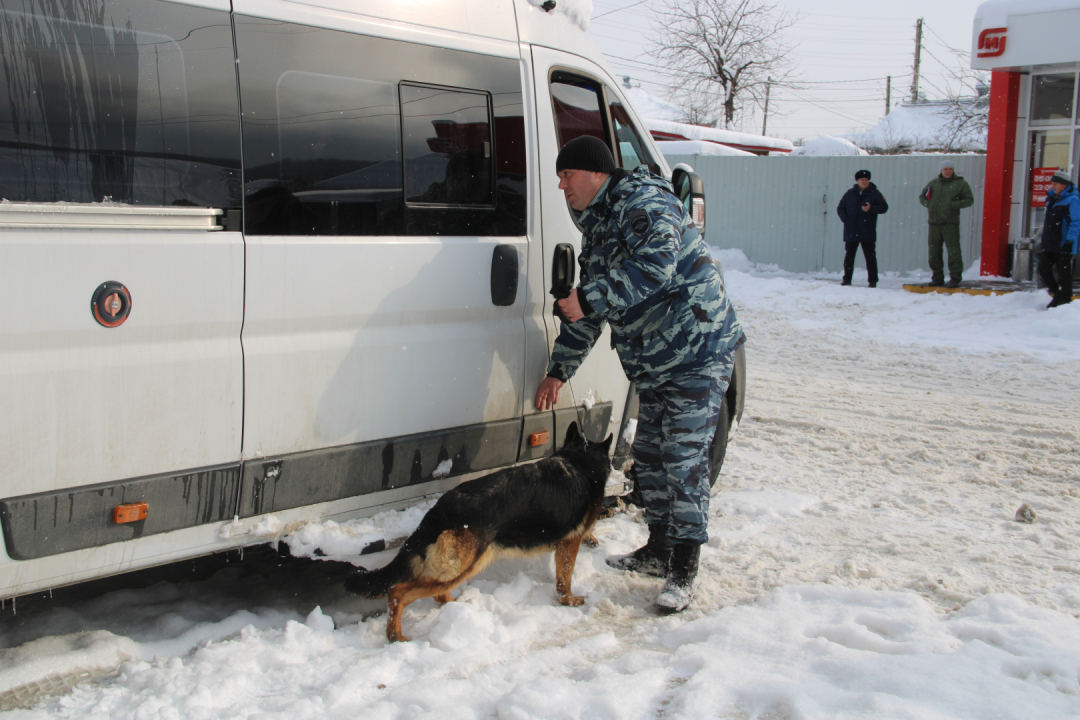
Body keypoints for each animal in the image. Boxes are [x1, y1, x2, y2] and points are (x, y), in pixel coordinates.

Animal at [347, 423, 617, 643]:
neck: (579, 459)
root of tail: (442, 507)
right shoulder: (570, 544)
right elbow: (565, 578)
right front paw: (569, 601)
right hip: (465, 565)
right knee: (397, 592)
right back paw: (396, 636)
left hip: (460, 566)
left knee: (433, 594)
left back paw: (454, 606)